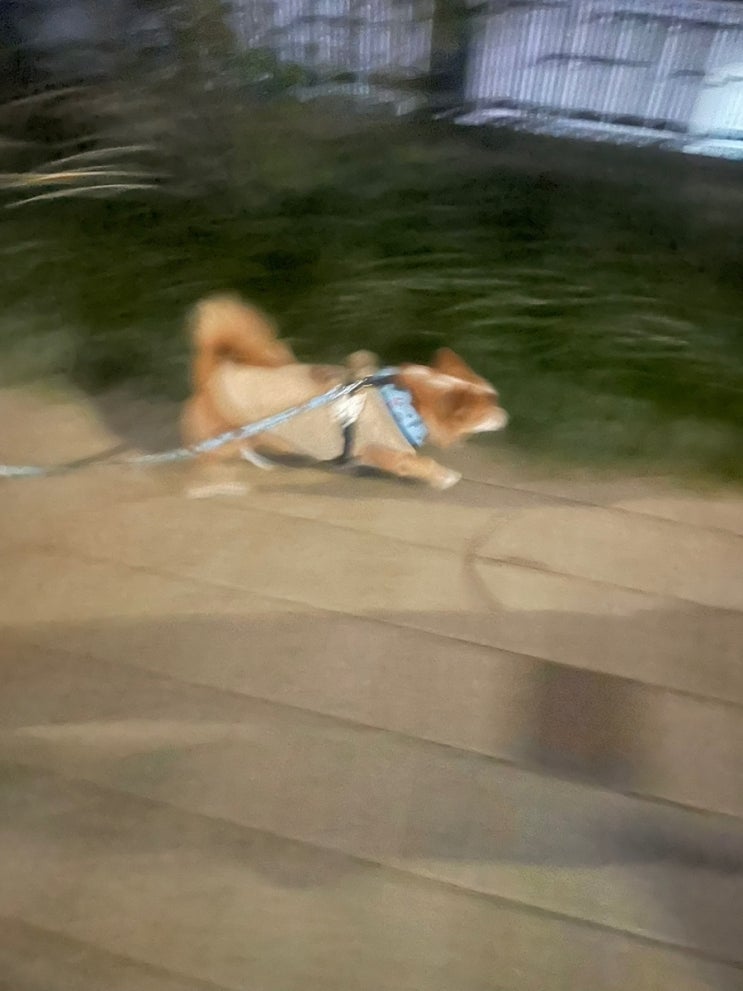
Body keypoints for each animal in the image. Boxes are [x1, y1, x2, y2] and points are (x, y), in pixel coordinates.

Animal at [181, 293, 508, 496]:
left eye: (495, 399)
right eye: (487, 410)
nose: (507, 417)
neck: (405, 400)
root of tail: (211, 375)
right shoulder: (390, 452)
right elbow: (421, 464)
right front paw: (446, 477)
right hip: (222, 439)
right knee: (206, 459)